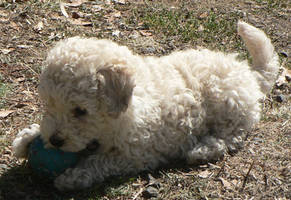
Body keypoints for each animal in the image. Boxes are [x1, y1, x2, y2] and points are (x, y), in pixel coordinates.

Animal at [12, 21, 280, 190]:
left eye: (80, 111)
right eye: (49, 106)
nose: (55, 141)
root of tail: (249, 73)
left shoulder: (136, 153)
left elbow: (100, 161)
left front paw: (75, 176)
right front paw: (26, 139)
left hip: (228, 105)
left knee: (232, 136)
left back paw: (203, 149)